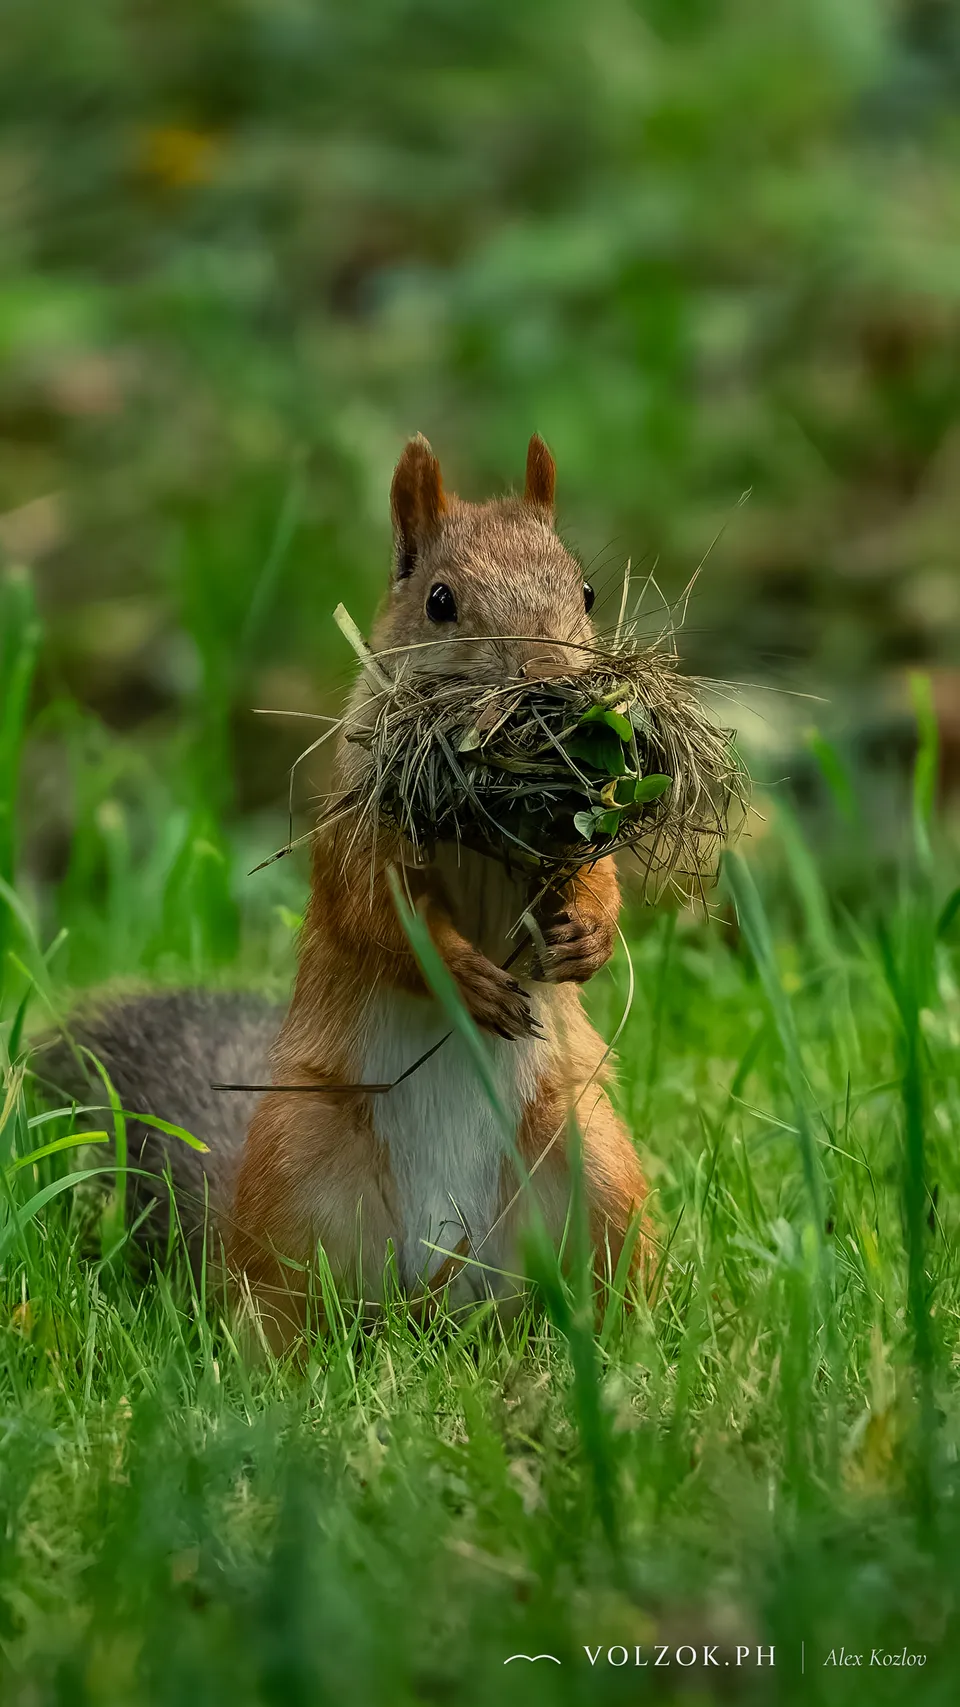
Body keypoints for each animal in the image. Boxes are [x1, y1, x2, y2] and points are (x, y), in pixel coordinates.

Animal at [50, 435, 649, 1350]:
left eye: (584, 591)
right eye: (441, 600)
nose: (549, 683)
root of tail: (439, 1298)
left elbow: (599, 875)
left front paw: (588, 935)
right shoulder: (352, 832)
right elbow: (374, 920)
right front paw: (459, 975)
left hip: (594, 1160)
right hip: (299, 1173)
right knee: (278, 1304)